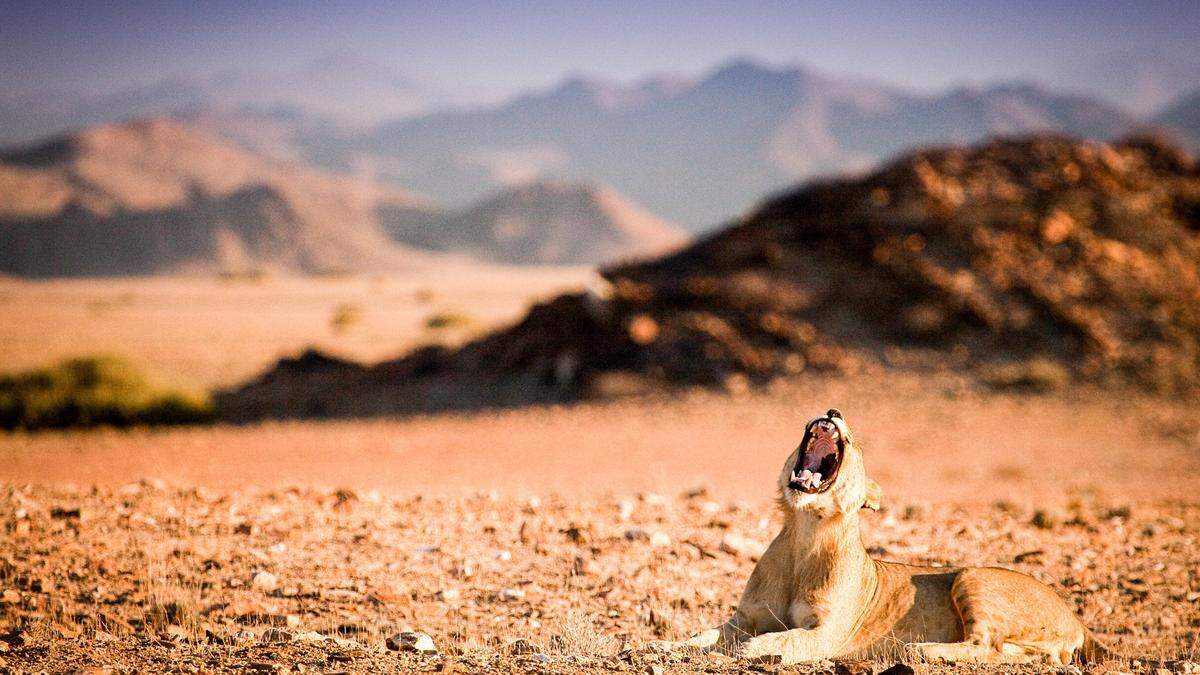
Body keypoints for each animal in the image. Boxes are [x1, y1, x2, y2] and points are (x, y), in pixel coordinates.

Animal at [667, 410, 1113, 662]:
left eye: (858, 445)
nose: (833, 410)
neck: (803, 535)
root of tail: (1076, 618)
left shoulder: (827, 634)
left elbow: (787, 638)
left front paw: (753, 650)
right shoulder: (744, 618)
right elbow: (702, 635)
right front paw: (663, 646)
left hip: (974, 577)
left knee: (985, 645)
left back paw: (919, 650)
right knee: (1019, 657)